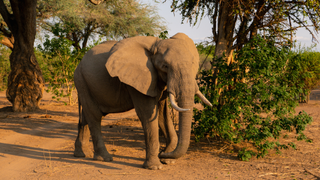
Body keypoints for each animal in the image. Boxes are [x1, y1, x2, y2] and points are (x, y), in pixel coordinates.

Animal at [73, 33, 212, 169]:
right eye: (165, 66)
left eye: (193, 63)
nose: (162, 153)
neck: (156, 45)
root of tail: (79, 63)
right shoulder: (138, 80)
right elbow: (147, 114)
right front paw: (155, 166)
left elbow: (162, 115)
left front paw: (167, 161)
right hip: (82, 81)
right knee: (94, 116)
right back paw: (104, 158)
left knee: (85, 117)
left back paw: (82, 154)